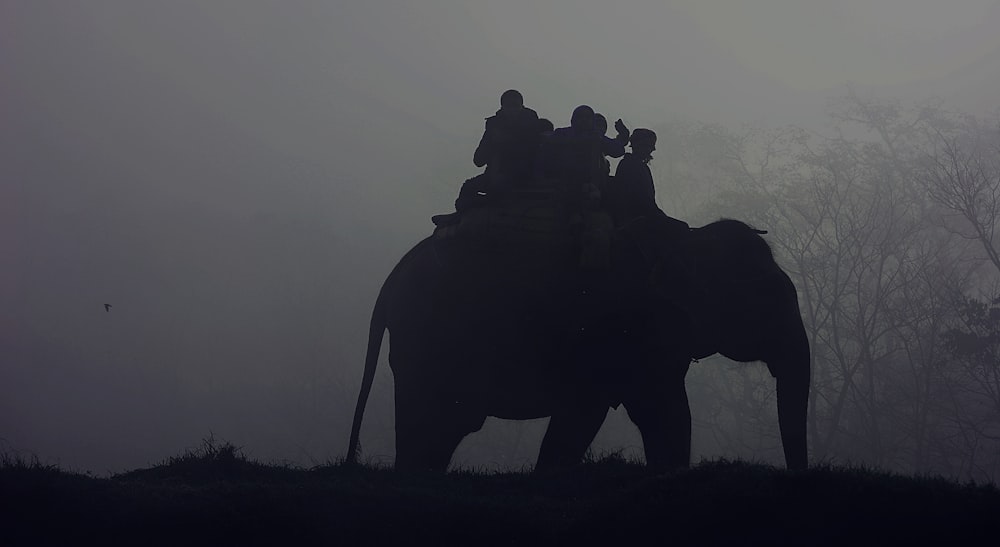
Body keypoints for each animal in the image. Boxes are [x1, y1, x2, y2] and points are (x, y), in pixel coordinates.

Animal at [348, 212, 808, 474]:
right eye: (769, 298)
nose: (797, 474)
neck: (689, 239)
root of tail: (391, 280)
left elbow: (650, 413)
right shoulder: (626, 332)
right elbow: (634, 411)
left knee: (442, 428)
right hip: (428, 341)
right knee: (431, 421)